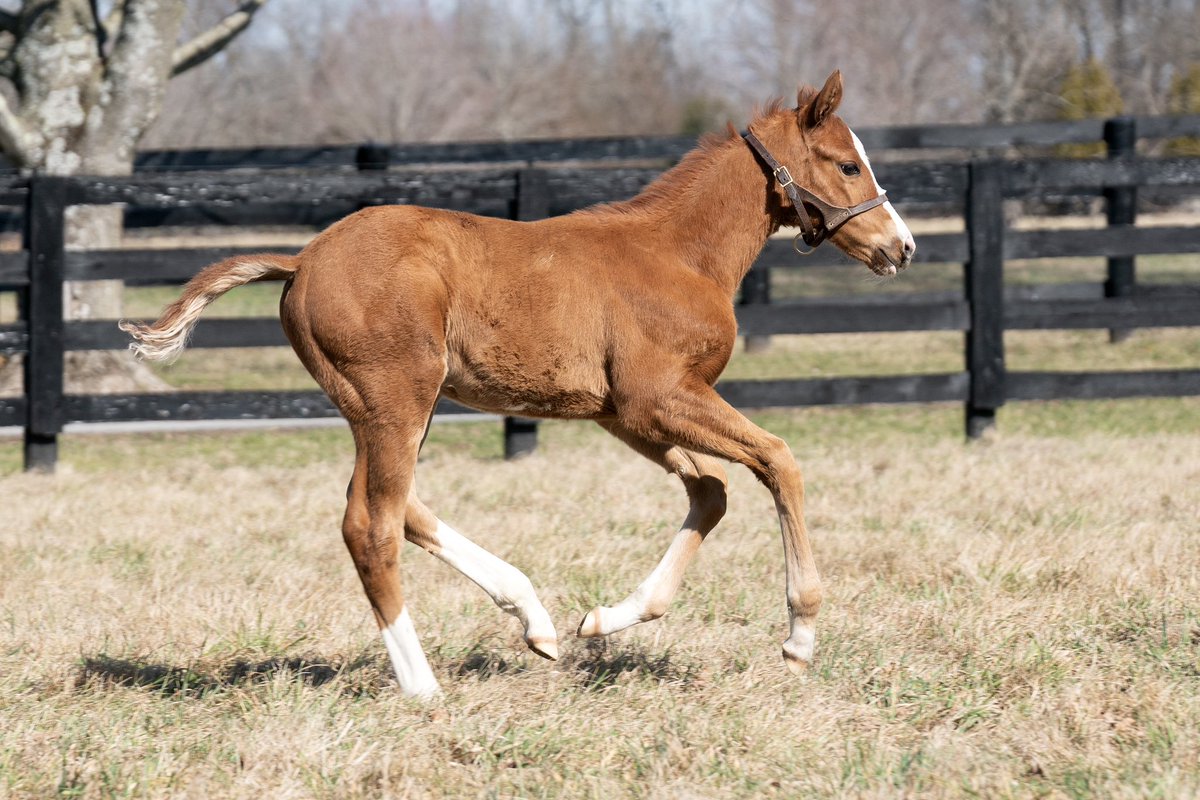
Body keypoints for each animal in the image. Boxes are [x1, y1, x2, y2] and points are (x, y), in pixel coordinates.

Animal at [121, 70, 915, 698]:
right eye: (847, 165)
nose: (901, 247)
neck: (678, 254)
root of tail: (301, 260)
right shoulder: (659, 397)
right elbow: (779, 459)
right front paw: (800, 639)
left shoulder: (625, 414)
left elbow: (712, 491)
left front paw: (604, 619)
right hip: (395, 399)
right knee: (369, 524)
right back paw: (424, 688)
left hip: (388, 407)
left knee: (396, 508)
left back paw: (535, 621)